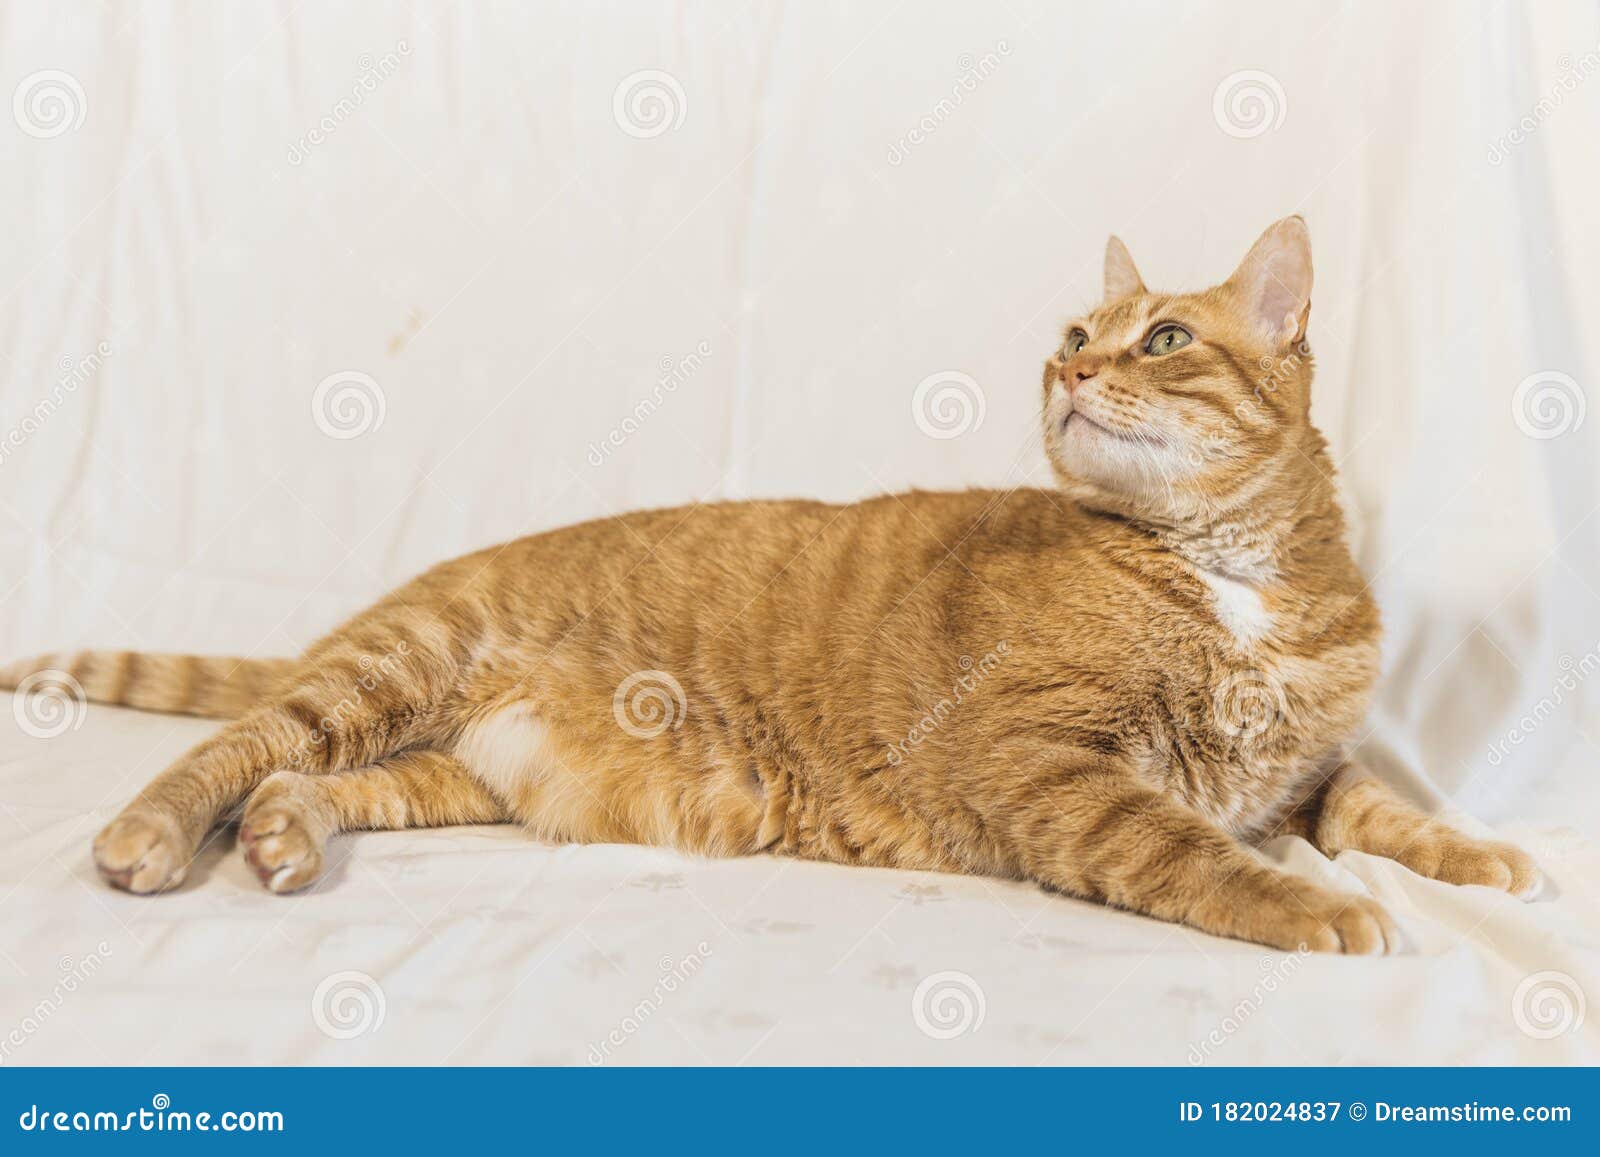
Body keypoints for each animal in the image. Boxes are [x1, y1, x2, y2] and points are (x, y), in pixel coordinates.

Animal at [6, 222, 1542, 953]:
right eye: (1072, 329)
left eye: (1161, 337)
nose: (1067, 368)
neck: (1227, 576)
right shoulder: (1044, 761)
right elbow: (1198, 852)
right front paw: (1317, 910)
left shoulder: (1300, 768)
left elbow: (1375, 807)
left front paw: (1482, 856)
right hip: (394, 671)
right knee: (232, 746)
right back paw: (153, 834)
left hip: (453, 771)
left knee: (310, 781)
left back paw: (284, 838)